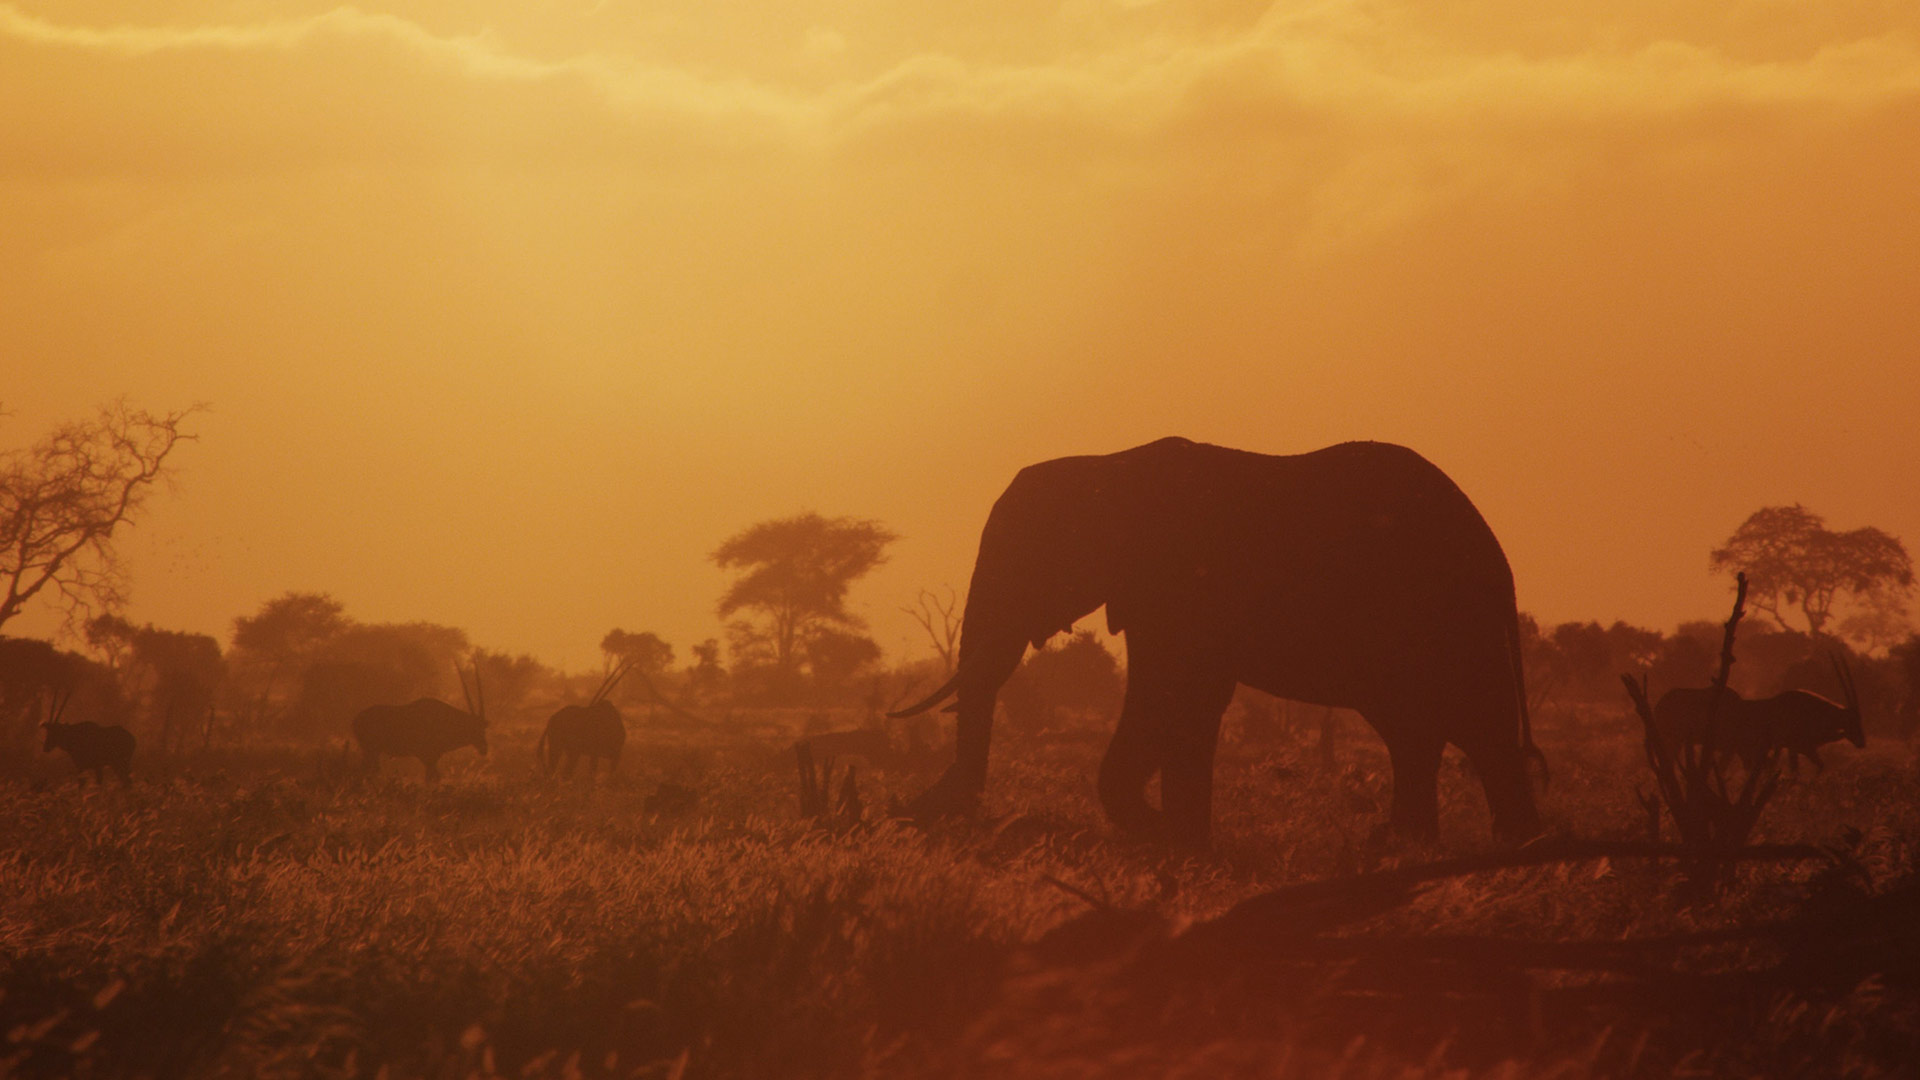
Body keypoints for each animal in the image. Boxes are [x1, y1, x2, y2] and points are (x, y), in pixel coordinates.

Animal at [353, 661, 487, 776]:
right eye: (475, 727)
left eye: (483, 727)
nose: (484, 748)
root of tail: (356, 719)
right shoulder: (428, 759)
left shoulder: (433, 760)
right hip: (371, 751)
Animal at [887, 432, 1543, 845]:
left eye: (1028, 560)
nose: (906, 814)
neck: (1108, 465)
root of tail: (1500, 557)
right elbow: (1183, 704)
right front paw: (1184, 841)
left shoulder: (1183, 584)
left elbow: (1173, 697)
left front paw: (1168, 836)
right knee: (1415, 729)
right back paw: (1408, 846)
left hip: (1447, 614)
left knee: (1473, 725)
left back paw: (1508, 852)